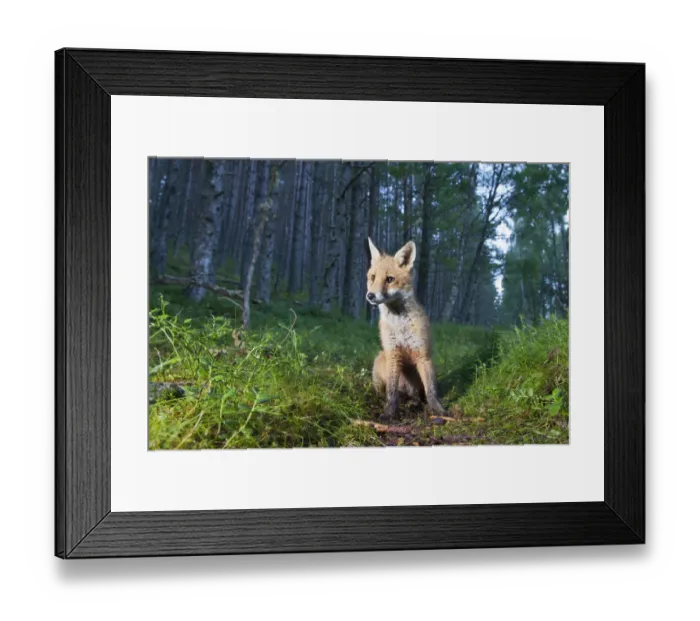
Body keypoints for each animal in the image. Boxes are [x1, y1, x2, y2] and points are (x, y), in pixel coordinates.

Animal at [366, 237, 445, 422]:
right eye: (372, 277)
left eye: (389, 279)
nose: (370, 295)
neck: (400, 325)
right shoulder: (393, 354)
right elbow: (391, 392)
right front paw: (389, 413)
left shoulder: (423, 356)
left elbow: (431, 391)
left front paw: (437, 410)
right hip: (381, 360)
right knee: (388, 391)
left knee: (417, 395)